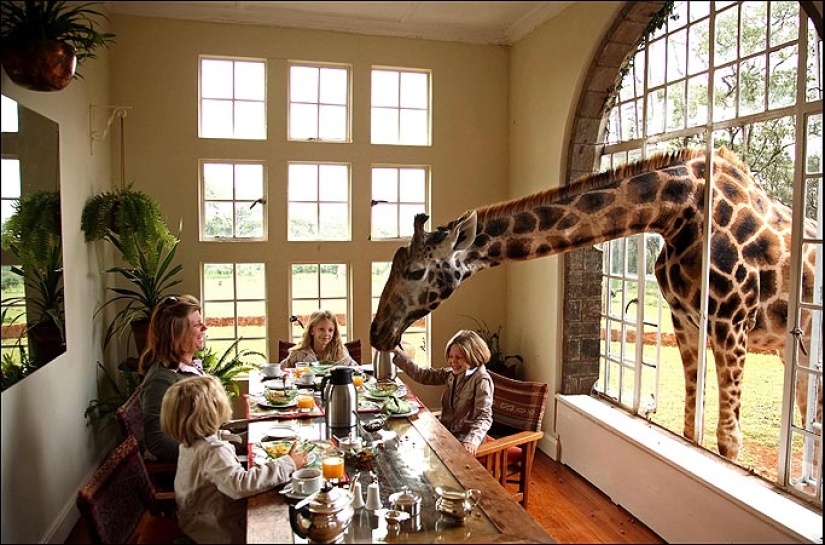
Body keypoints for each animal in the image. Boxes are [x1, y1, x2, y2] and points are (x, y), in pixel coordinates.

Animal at [370, 146, 820, 461]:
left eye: (416, 271)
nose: (377, 332)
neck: (679, 212)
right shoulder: (686, 323)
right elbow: (691, 422)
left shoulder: (731, 324)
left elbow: (728, 442)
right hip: (795, 349)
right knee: (806, 412)